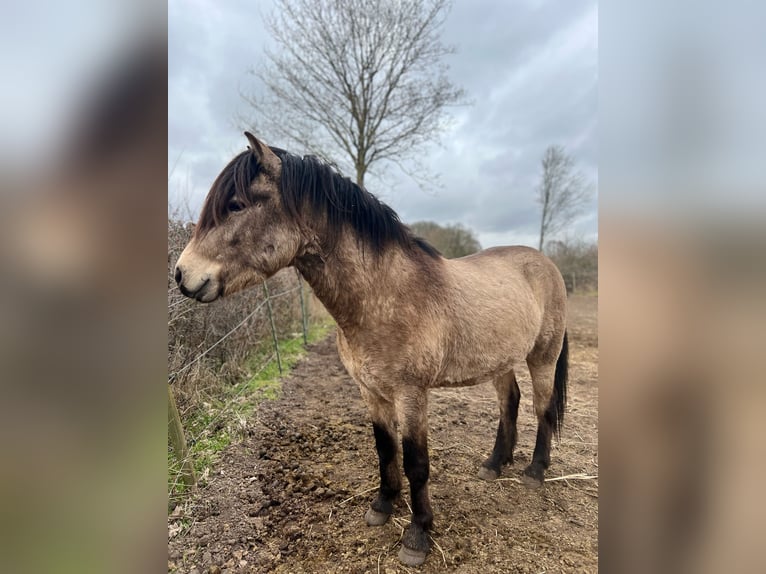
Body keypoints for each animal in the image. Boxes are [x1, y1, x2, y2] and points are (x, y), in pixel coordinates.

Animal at [175, 133, 569, 566]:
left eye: (236, 205)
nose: (182, 274)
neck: (383, 295)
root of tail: (546, 264)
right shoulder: (370, 390)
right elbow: (384, 449)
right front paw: (382, 506)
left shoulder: (411, 394)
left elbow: (416, 462)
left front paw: (417, 535)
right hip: (501, 360)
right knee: (509, 403)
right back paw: (495, 464)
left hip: (543, 357)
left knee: (543, 407)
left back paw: (535, 471)